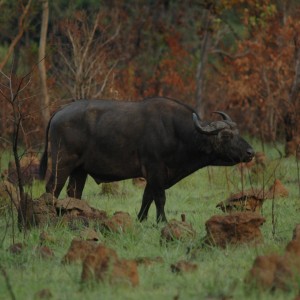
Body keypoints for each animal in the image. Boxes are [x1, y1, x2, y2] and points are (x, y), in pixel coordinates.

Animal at [38, 97, 254, 221]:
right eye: (226, 136)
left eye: (237, 132)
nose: (251, 152)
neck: (177, 132)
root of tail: (58, 112)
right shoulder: (155, 169)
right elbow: (159, 198)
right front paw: (162, 221)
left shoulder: (154, 176)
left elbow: (147, 197)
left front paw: (141, 219)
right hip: (62, 164)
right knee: (52, 189)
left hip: (79, 170)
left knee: (74, 192)